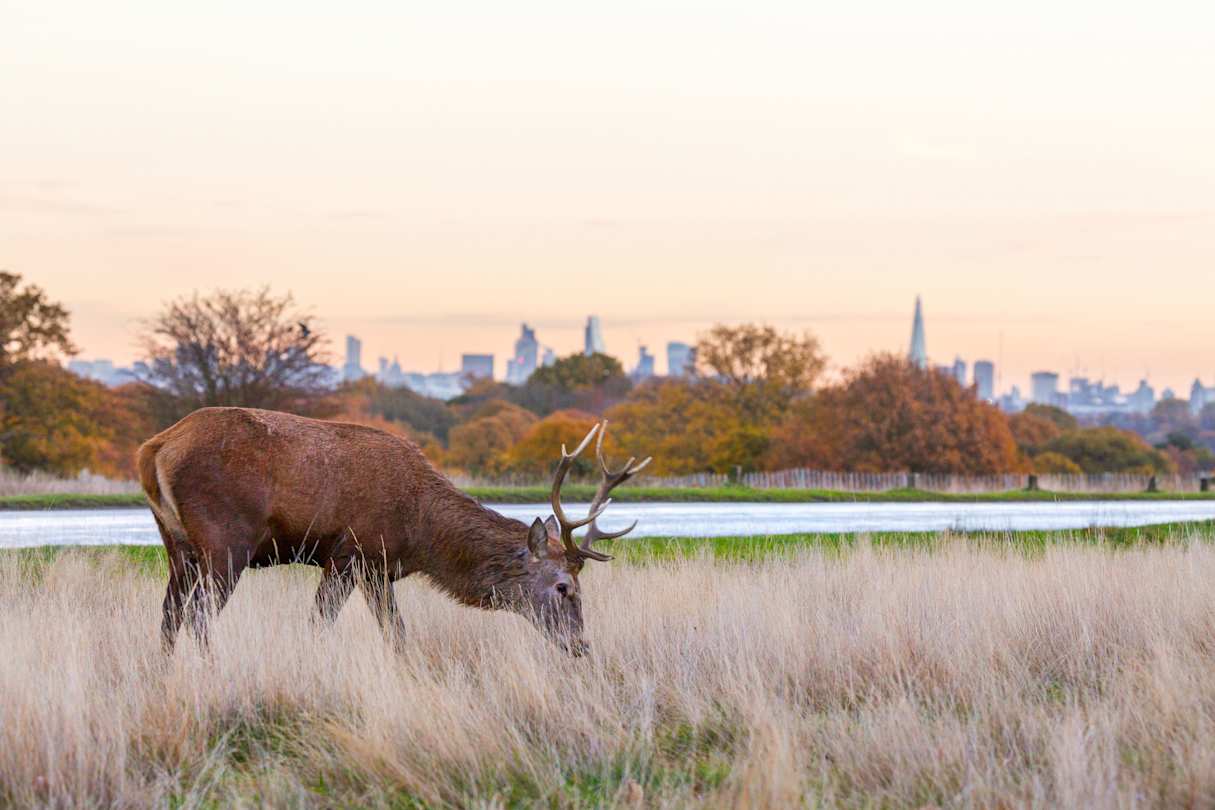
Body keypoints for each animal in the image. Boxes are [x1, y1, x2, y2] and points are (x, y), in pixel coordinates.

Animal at [136, 407, 649, 656]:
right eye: (564, 587)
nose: (581, 646)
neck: (420, 532)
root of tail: (154, 448)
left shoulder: (377, 570)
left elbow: (395, 633)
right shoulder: (353, 554)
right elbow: (324, 625)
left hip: (176, 545)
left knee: (168, 615)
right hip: (225, 541)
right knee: (198, 617)